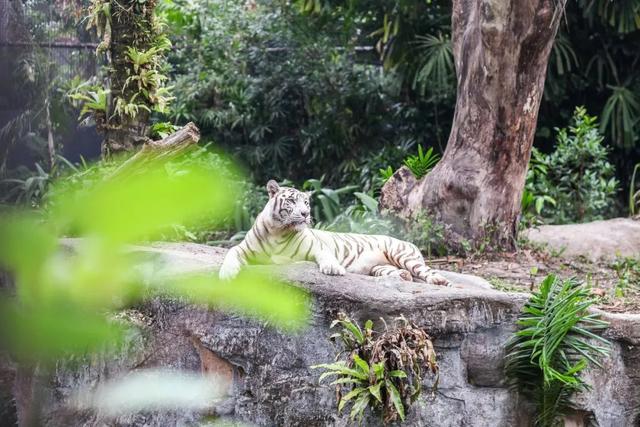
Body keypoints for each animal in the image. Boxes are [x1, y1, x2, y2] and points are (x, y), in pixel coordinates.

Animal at [220, 181, 450, 288]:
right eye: (292, 201)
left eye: (306, 203)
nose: (305, 214)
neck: (279, 230)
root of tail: (408, 242)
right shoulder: (242, 248)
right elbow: (230, 253)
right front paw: (226, 274)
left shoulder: (317, 247)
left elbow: (326, 255)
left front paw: (333, 269)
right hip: (380, 267)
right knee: (401, 273)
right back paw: (402, 276)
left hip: (402, 255)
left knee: (426, 271)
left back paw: (440, 281)